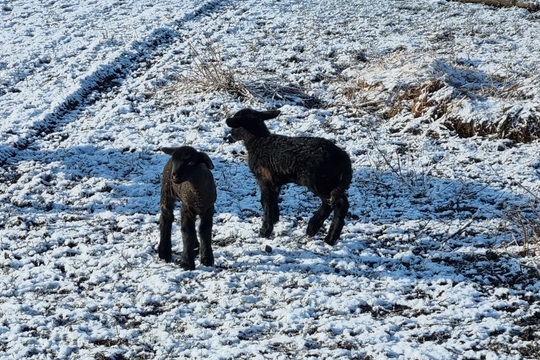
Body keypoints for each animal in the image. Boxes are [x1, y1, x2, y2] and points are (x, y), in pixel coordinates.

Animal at [226, 109, 352, 245]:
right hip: (327, 181)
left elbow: (265, 202)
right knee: (329, 203)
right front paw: (275, 219)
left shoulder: (265, 179)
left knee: (339, 203)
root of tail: (343, 157)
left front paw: (265, 231)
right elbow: (272, 200)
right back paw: (313, 227)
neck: (258, 142)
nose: (230, 135)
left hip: (319, 181)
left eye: (236, 124)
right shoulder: (275, 182)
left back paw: (330, 238)